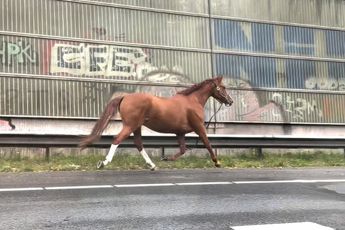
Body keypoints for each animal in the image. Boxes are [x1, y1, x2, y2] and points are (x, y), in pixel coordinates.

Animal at [79, 76, 232, 170]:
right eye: (223, 87)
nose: (230, 101)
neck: (192, 101)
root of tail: (124, 97)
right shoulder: (199, 127)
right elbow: (207, 143)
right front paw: (217, 162)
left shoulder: (180, 133)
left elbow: (183, 149)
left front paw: (166, 158)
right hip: (130, 126)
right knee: (117, 139)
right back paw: (103, 163)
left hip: (136, 127)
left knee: (138, 143)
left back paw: (152, 165)